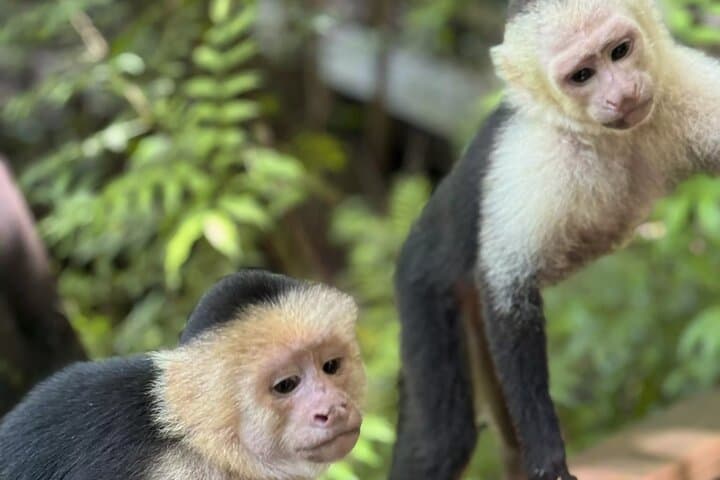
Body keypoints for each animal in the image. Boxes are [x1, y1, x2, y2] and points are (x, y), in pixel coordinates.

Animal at [389, 1, 720, 479]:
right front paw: (550, 461)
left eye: (620, 51)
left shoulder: (683, 85)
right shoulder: (536, 159)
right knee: (442, 442)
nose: (622, 94)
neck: (612, 137)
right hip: (421, 285)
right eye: (582, 75)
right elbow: (508, 291)